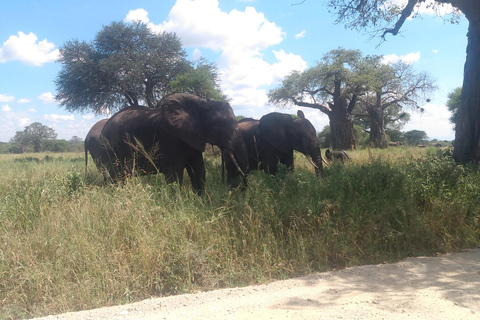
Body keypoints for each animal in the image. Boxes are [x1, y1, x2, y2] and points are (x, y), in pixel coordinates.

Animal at [97, 91, 248, 194]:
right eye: (218, 125)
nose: (238, 188)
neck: (201, 103)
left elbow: (199, 168)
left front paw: (201, 200)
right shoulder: (168, 138)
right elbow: (173, 172)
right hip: (109, 148)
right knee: (116, 177)